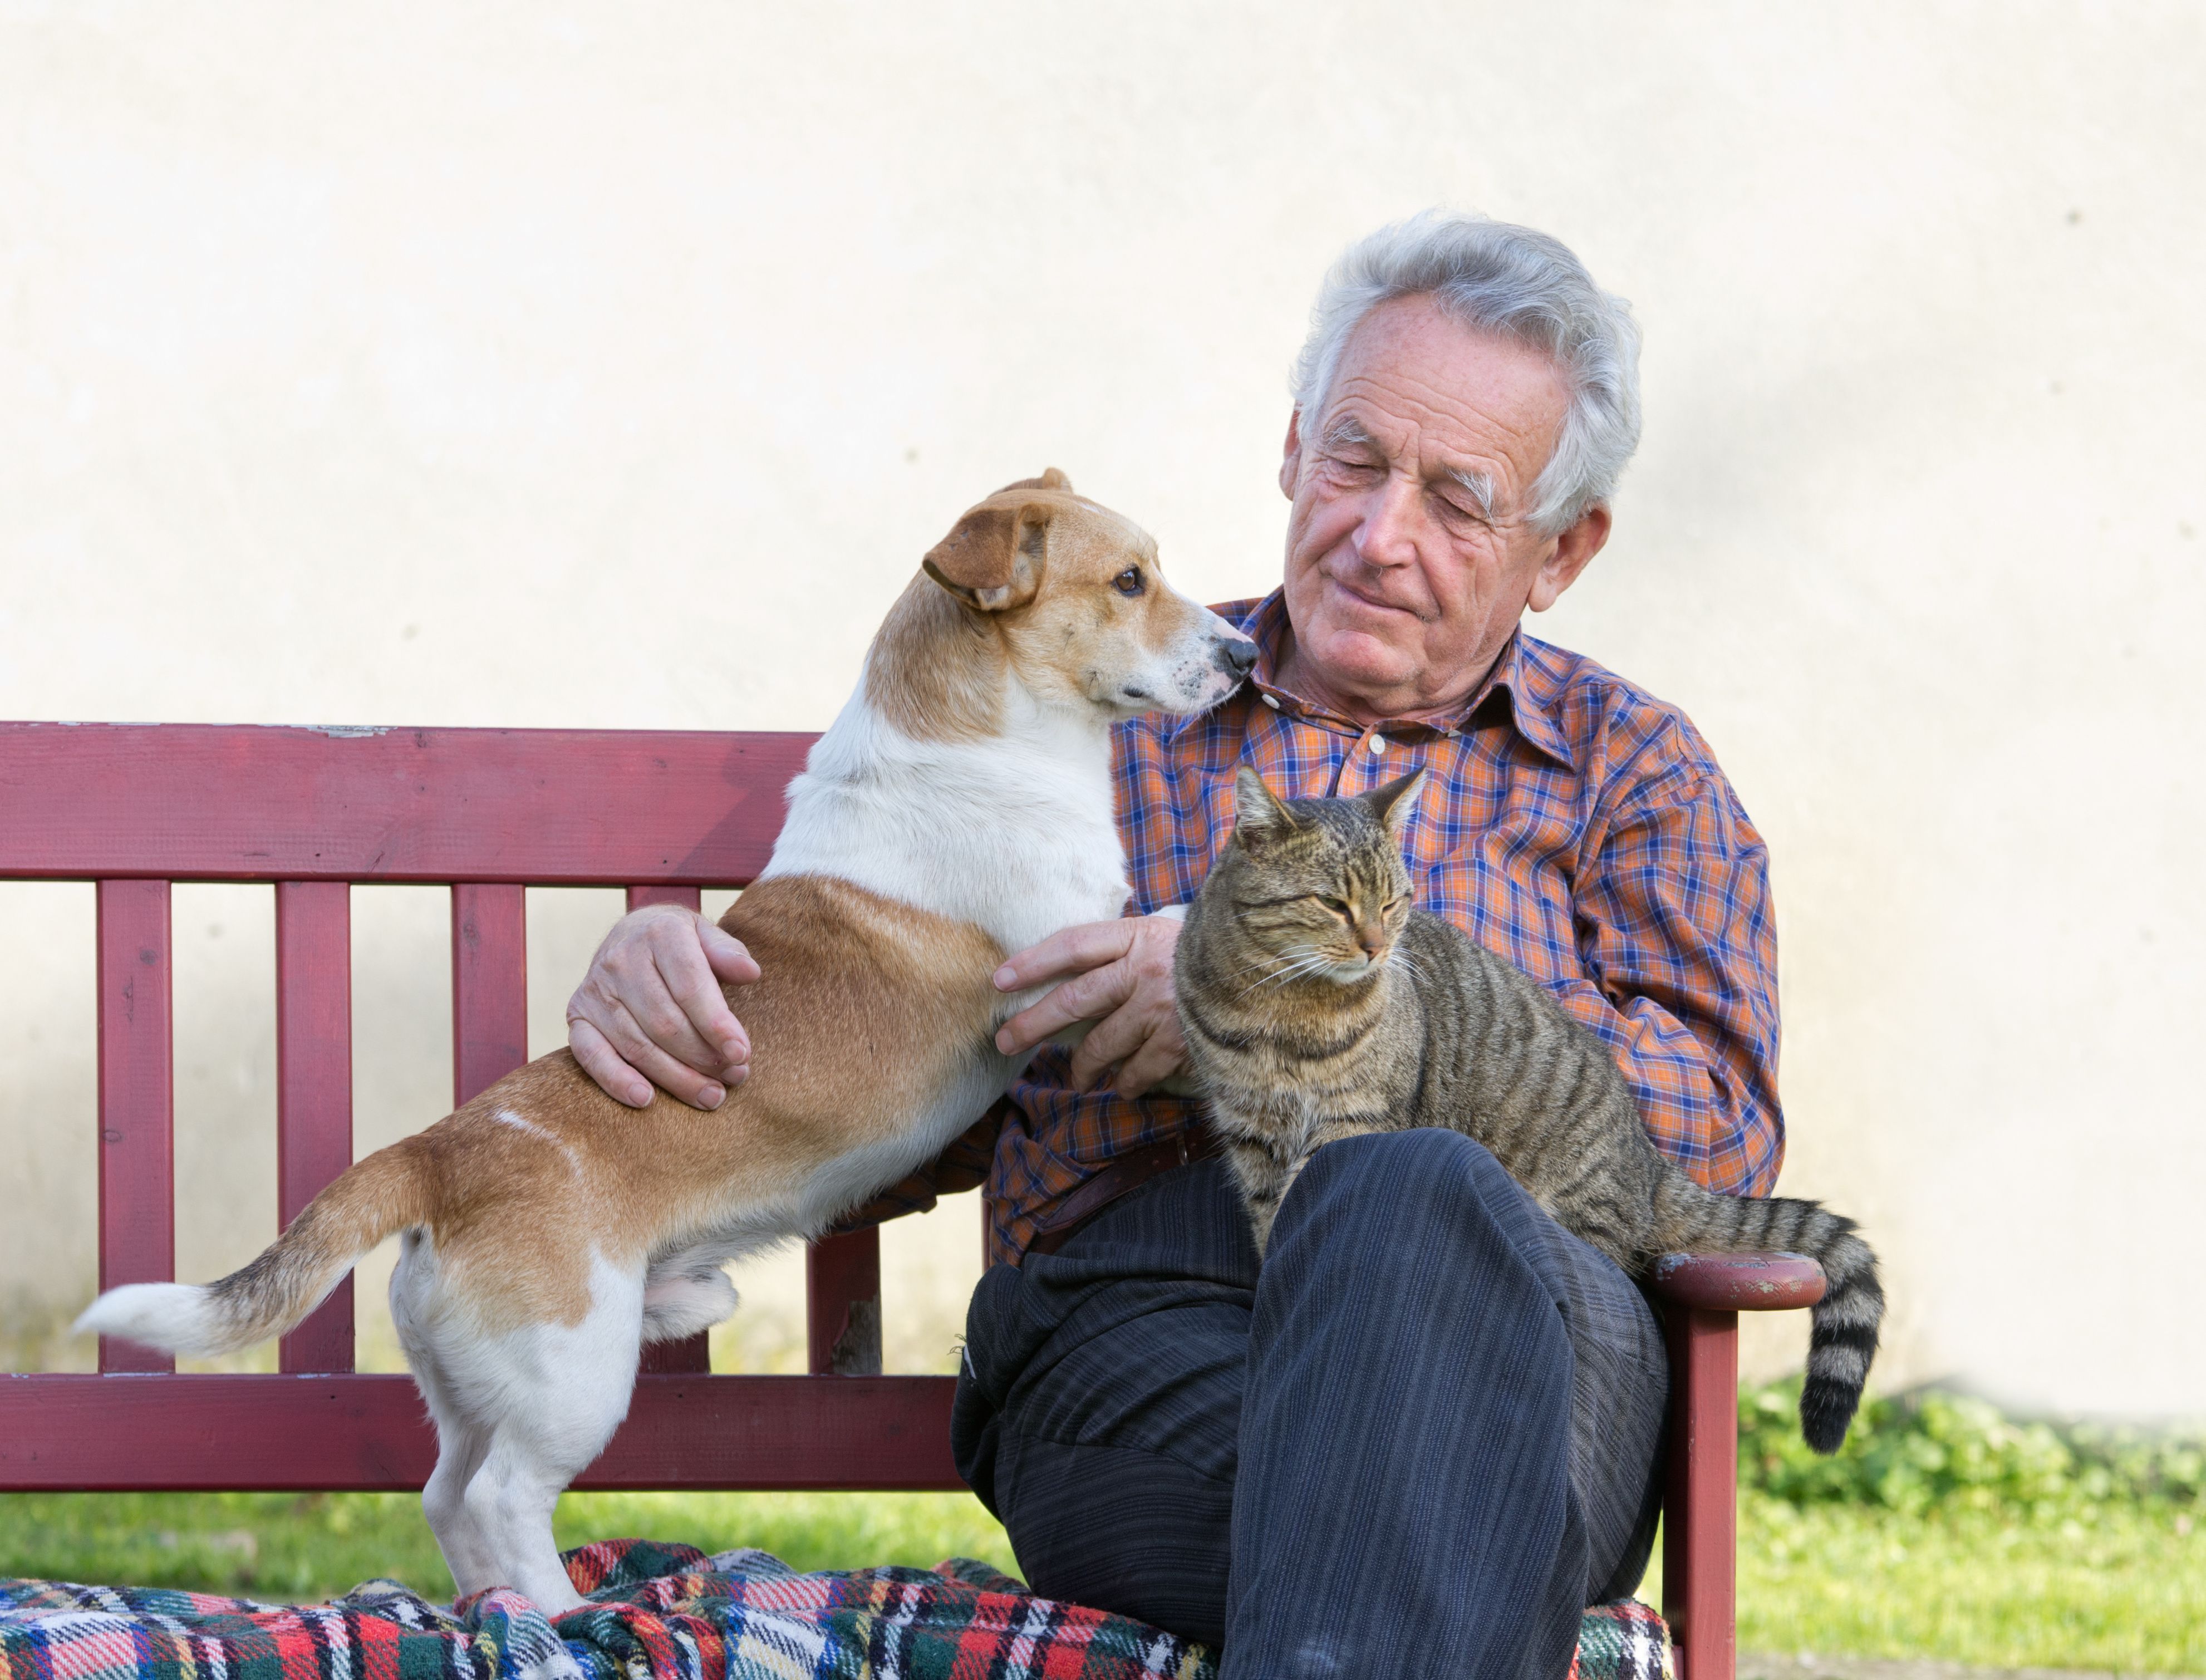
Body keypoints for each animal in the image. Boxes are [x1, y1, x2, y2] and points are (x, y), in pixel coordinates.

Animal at [81, 467, 1261, 1614]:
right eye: (1127, 581)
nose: (1247, 656)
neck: (977, 739)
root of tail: (437, 1152)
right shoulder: (1064, 950)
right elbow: (1172, 923)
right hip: (573, 1375)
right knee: (505, 1497)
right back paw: (561, 1616)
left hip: (478, 1384)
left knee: (448, 1495)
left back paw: (508, 1611)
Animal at [1182, 767, 1888, 1446]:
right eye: (1332, 903)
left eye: (1391, 901)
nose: (1378, 946)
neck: (1284, 1011)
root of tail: (1649, 1162)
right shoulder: (1252, 1136)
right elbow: (1270, 1227)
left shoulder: (1350, 1125)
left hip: (1576, 1209)